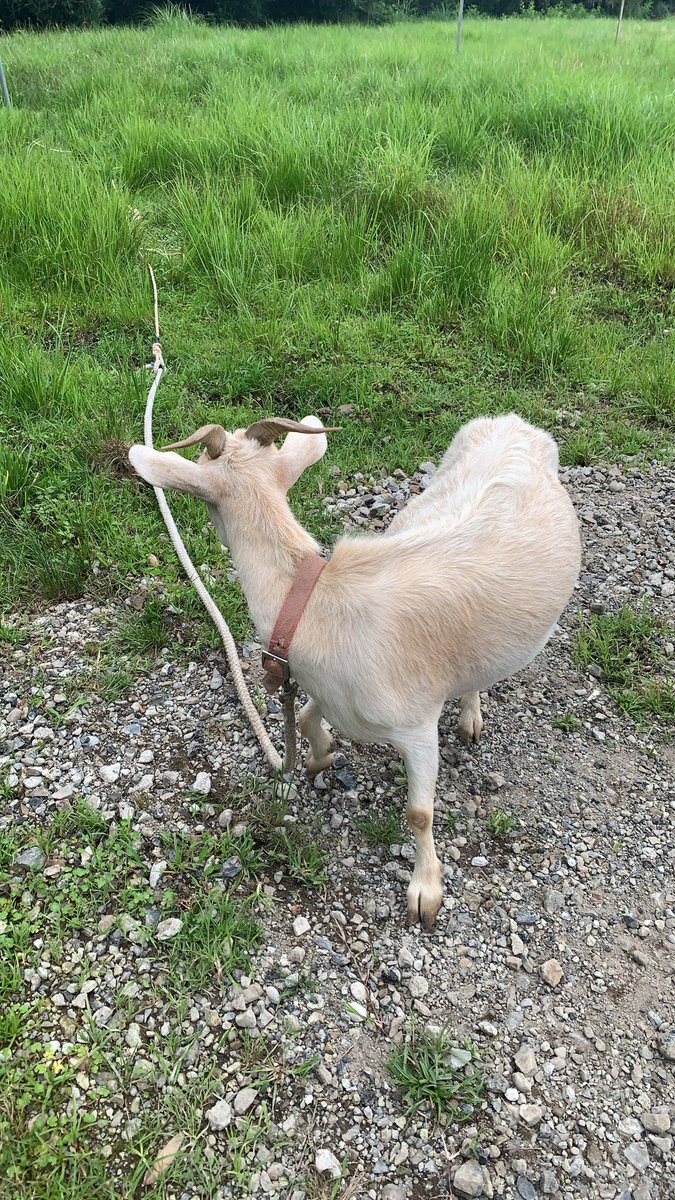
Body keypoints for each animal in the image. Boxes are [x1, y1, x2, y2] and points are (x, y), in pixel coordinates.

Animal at [130, 412, 578, 926]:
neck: (314, 604)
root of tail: (513, 422)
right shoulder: (331, 691)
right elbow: (306, 719)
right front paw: (320, 756)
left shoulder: (416, 725)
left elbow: (419, 814)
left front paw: (425, 892)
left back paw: (469, 717)